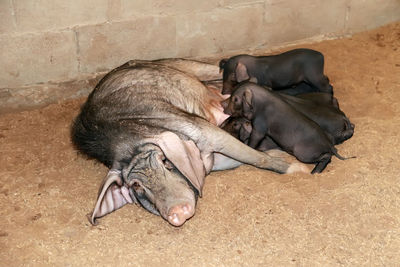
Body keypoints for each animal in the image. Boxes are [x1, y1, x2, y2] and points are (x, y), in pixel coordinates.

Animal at [70, 59, 308, 227]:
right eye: (136, 185)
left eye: (165, 161)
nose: (177, 212)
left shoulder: (203, 129)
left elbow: (255, 157)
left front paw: (301, 170)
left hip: (193, 66)